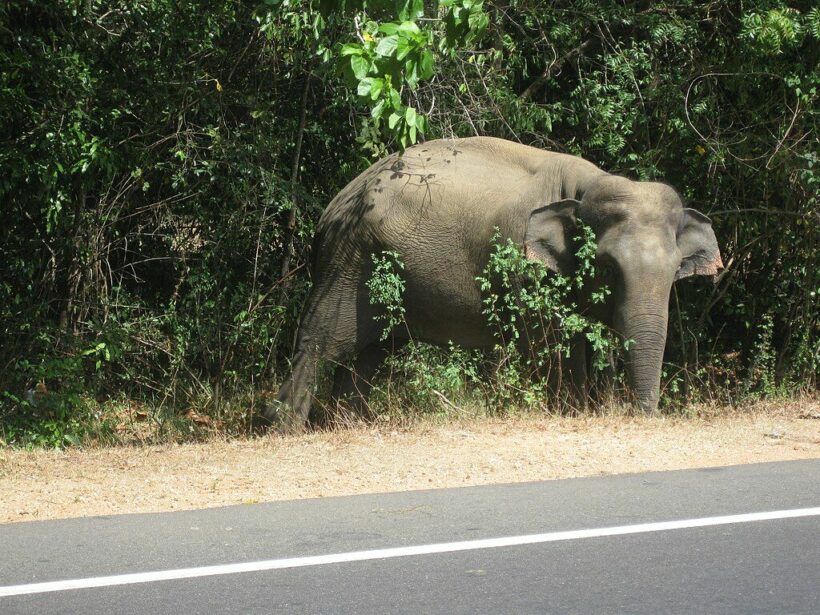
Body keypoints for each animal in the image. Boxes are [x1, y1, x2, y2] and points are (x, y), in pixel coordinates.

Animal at [266, 137, 720, 430]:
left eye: (676, 270)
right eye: (607, 268)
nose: (645, 416)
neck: (585, 185)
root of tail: (333, 206)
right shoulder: (525, 268)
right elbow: (553, 345)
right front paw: (573, 412)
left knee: (370, 354)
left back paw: (349, 425)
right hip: (347, 260)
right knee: (321, 342)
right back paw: (284, 427)